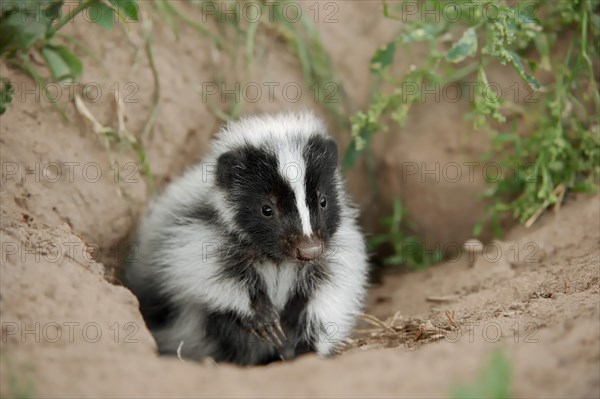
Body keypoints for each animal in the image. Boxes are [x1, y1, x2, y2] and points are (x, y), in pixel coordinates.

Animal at [126, 110, 368, 366]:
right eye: (266, 209)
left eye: (323, 201)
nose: (309, 250)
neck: (277, 259)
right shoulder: (198, 230)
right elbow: (205, 271)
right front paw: (263, 318)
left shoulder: (336, 251)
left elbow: (330, 291)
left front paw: (306, 348)